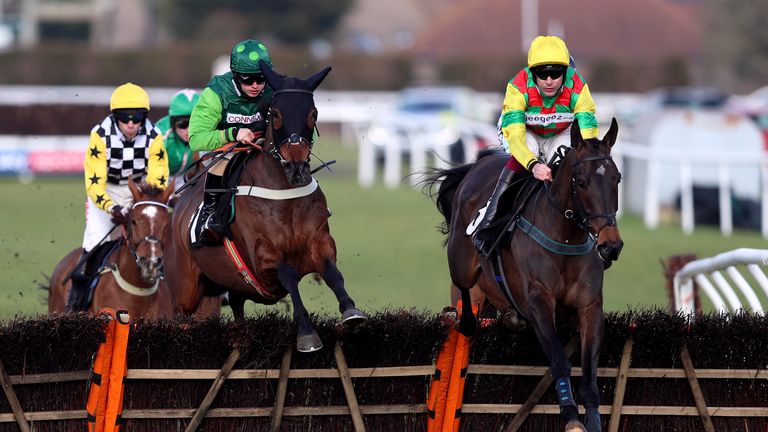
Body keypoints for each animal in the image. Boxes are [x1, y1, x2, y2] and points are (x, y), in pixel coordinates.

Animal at [164, 60, 366, 352]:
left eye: (313, 113)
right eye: (277, 114)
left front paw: (351, 311)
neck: (284, 195)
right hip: (184, 292)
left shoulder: (320, 240)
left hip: (233, 284)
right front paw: (307, 333)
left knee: (237, 306)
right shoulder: (262, 254)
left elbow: (332, 272)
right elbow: (288, 274)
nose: (296, 167)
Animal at [424, 119, 628, 432]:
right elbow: (559, 361)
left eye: (616, 179)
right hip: (462, 264)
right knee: (463, 293)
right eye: (581, 183)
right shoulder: (539, 302)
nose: (611, 245)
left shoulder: (590, 307)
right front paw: (571, 418)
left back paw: (511, 316)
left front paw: (592, 420)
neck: (565, 237)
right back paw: (468, 321)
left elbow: (590, 373)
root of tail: (478, 165)